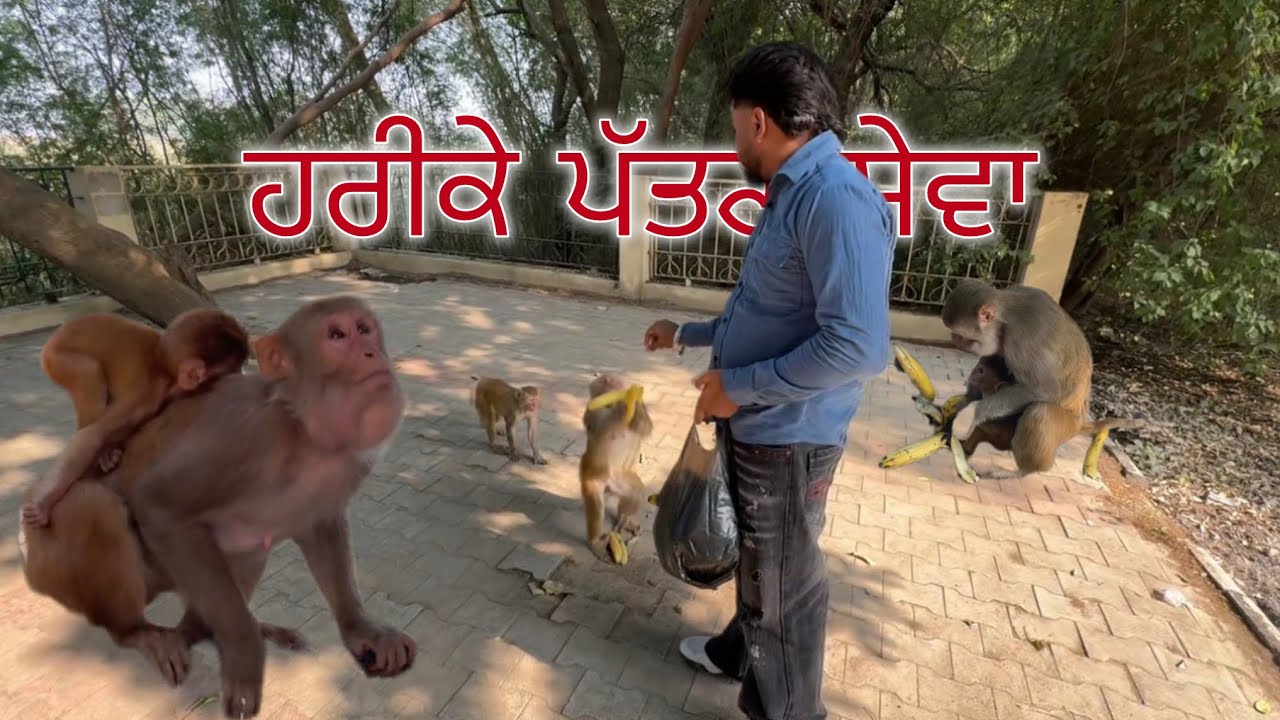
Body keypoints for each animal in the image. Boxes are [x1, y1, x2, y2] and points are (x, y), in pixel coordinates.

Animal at [22, 308, 250, 528]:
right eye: (233, 368)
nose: (242, 373)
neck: (165, 373)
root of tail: (59, 333)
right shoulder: (142, 397)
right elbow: (92, 435)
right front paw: (45, 503)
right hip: (59, 358)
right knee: (89, 373)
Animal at [579, 373, 653, 565]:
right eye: (602, 381)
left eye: (612, 379)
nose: (607, 377)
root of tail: (608, 487)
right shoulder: (593, 410)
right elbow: (598, 428)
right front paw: (622, 406)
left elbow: (645, 427)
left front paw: (632, 405)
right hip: (592, 478)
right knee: (596, 505)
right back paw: (595, 543)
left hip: (620, 480)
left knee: (636, 492)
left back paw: (625, 519)